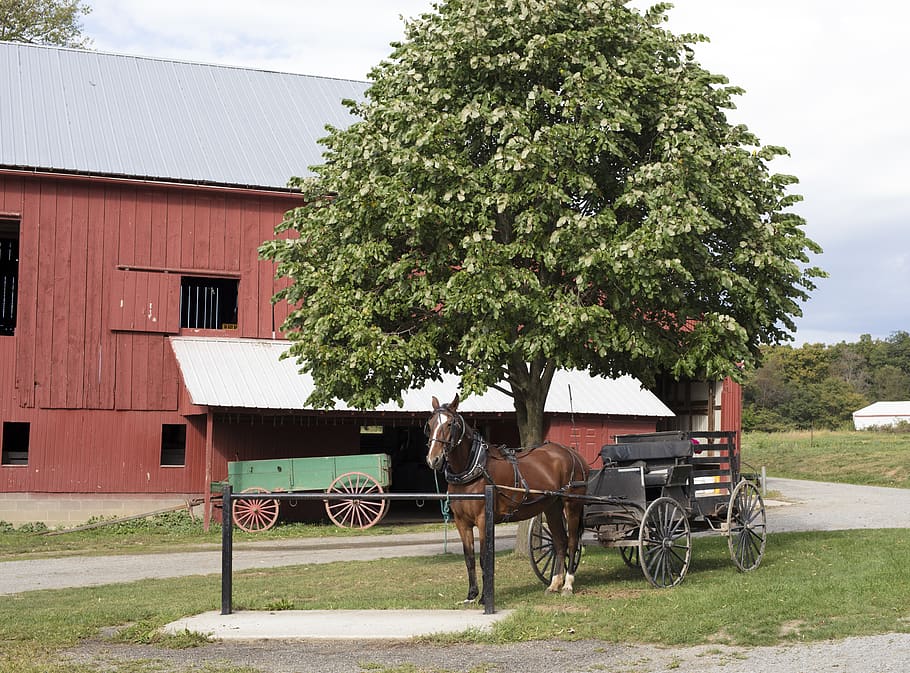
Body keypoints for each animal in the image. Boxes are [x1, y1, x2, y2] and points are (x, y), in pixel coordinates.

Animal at [425, 394, 589, 603]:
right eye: (430, 424)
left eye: (450, 424)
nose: (433, 459)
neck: (474, 469)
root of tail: (573, 453)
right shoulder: (462, 522)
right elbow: (469, 558)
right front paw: (471, 594)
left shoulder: (483, 520)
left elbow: (484, 558)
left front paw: (485, 598)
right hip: (552, 506)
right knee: (560, 542)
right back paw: (554, 584)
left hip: (572, 505)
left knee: (572, 541)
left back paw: (567, 584)